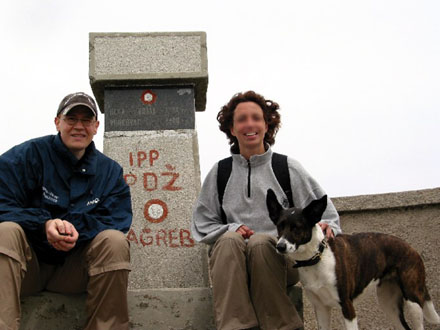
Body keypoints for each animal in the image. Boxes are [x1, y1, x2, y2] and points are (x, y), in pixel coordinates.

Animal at [264, 188, 440, 330]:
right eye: (280, 226)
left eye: (297, 228)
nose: (280, 247)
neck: (317, 258)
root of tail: (412, 249)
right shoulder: (321, 308)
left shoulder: (348, 308)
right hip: (388, 302)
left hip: (413, 299)